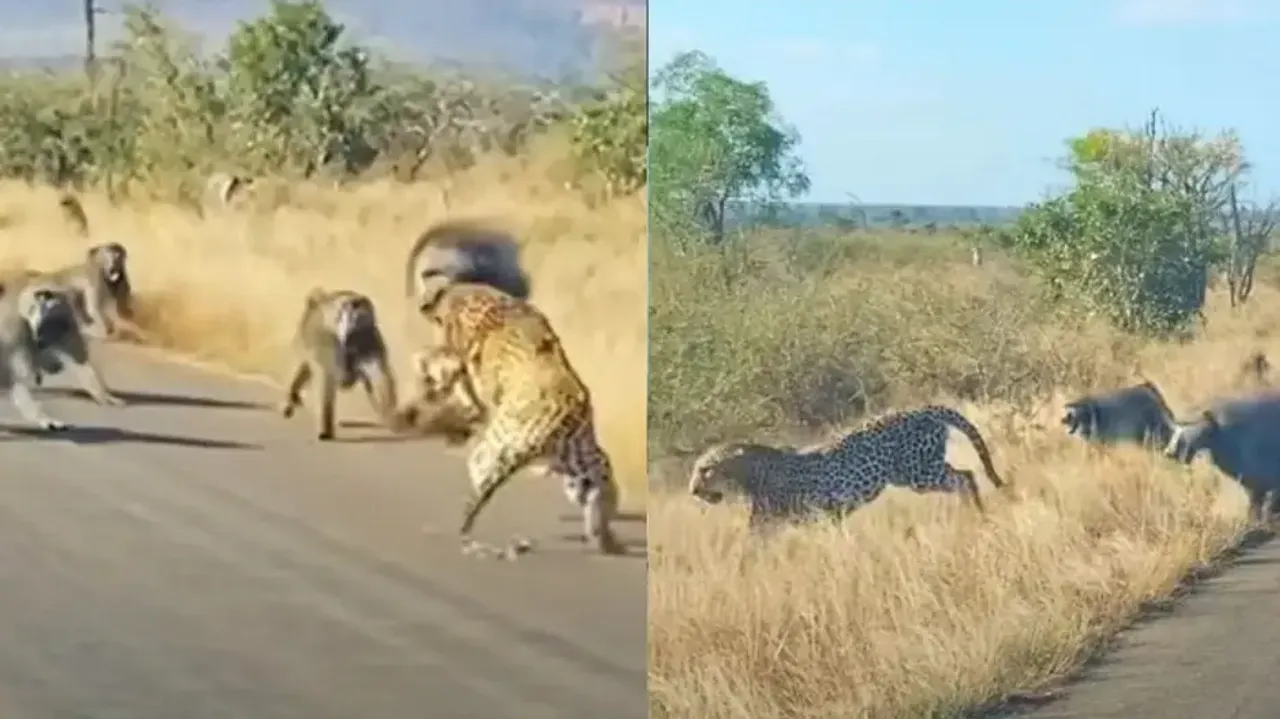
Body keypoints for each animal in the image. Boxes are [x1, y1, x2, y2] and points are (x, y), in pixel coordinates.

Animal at [404, 281, 624, 558]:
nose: (424, 306)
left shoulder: (458, 362)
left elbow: (437, 366)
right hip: (584, 463)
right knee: (595, 494)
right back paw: (606, 540)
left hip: (499, 447)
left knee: (478, 475)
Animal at [689, 405, 1009, 532]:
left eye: (706, 470)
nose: (692, 490)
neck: (750, 474)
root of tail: (923, 410)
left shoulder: (788, 519)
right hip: (922, 469)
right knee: (964, 475)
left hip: (918, 473)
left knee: (964, 477)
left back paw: (976, 514)